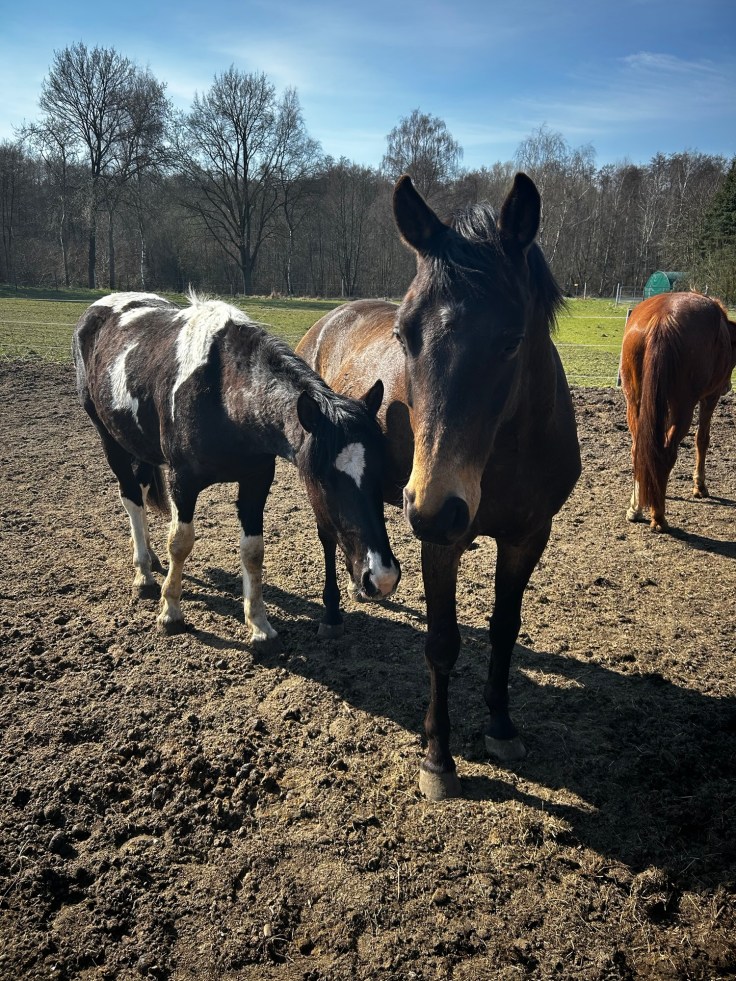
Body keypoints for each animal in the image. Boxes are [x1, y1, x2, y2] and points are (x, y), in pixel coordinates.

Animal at [72, 292, 400, 640]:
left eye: (379, 471)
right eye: (324, 480)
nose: (382, 577)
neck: (224, 396)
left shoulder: (256, 481)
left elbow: (253, 550)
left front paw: (258, 623)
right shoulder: (182, 482)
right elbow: (180, 542)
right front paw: (170, 611)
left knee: (143, 488)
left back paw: (151, 557)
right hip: (110, 439)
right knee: (132, 499)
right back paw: (144, 574)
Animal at [297, 173, 581, 799]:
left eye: (511, 339)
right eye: (404, 335)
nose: (432, 507)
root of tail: (325, 322)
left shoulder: (529, 536)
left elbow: (504, 630)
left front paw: (500, 726)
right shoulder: (441, 541)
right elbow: (442, 643)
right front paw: (438, 758)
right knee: (329, 537)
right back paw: (332, 611)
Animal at [620, 291, 736, 532]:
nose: (728, 387)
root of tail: (662, 319)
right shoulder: (710, 397)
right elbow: (702, 439)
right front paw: (700, 486)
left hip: (634, 400)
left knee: (640, 449)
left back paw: (637, 506)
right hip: (683, 406)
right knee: (666, 452)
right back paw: (659, 517)